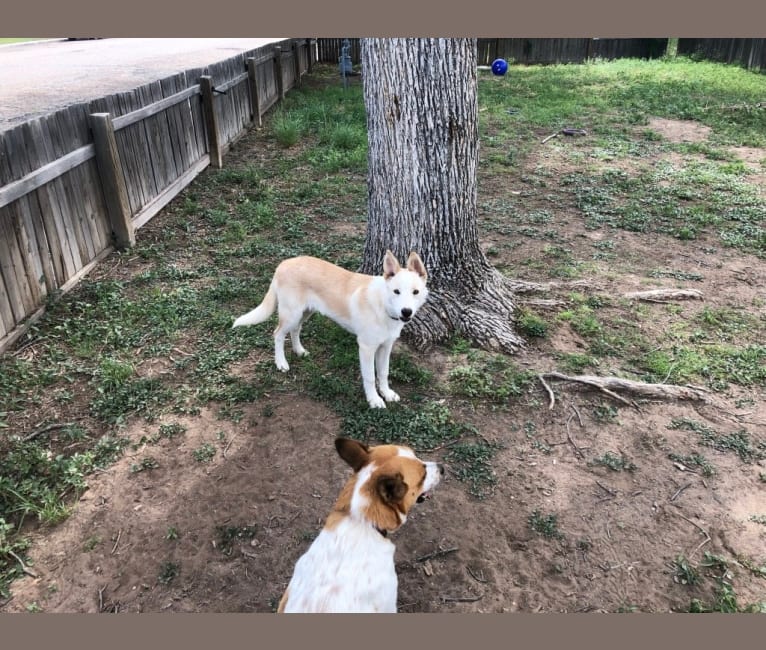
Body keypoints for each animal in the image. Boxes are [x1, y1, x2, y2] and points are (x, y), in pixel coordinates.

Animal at [231, 251, 428, 408]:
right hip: (291, 313)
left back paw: (299, 350)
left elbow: (383, 372)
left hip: (305, 312)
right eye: (396, 291)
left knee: (296, 330)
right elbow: (370, 377)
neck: (383, 306)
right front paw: (374, 400)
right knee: (277, 334)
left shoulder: (386, 347)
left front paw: (387, 393)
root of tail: (284, 263)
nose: (406, 312)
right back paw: (281, 362)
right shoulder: (366, 348)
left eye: (415, 292)